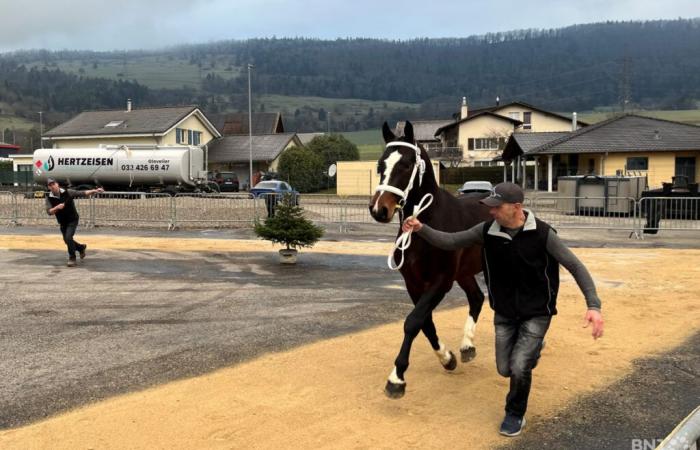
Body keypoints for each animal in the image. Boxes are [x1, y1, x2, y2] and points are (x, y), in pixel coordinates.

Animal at [366, 121, 492, 400]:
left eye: (405, 165)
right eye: (380, 165)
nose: (379, 210)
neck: (425, 226)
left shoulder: (440, 281)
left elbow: (413, 322)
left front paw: (396, 379)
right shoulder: (414, 284)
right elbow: (425, 323)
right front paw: (447, 358)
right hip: (464, 273)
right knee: (477, 298)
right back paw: (467, 346)